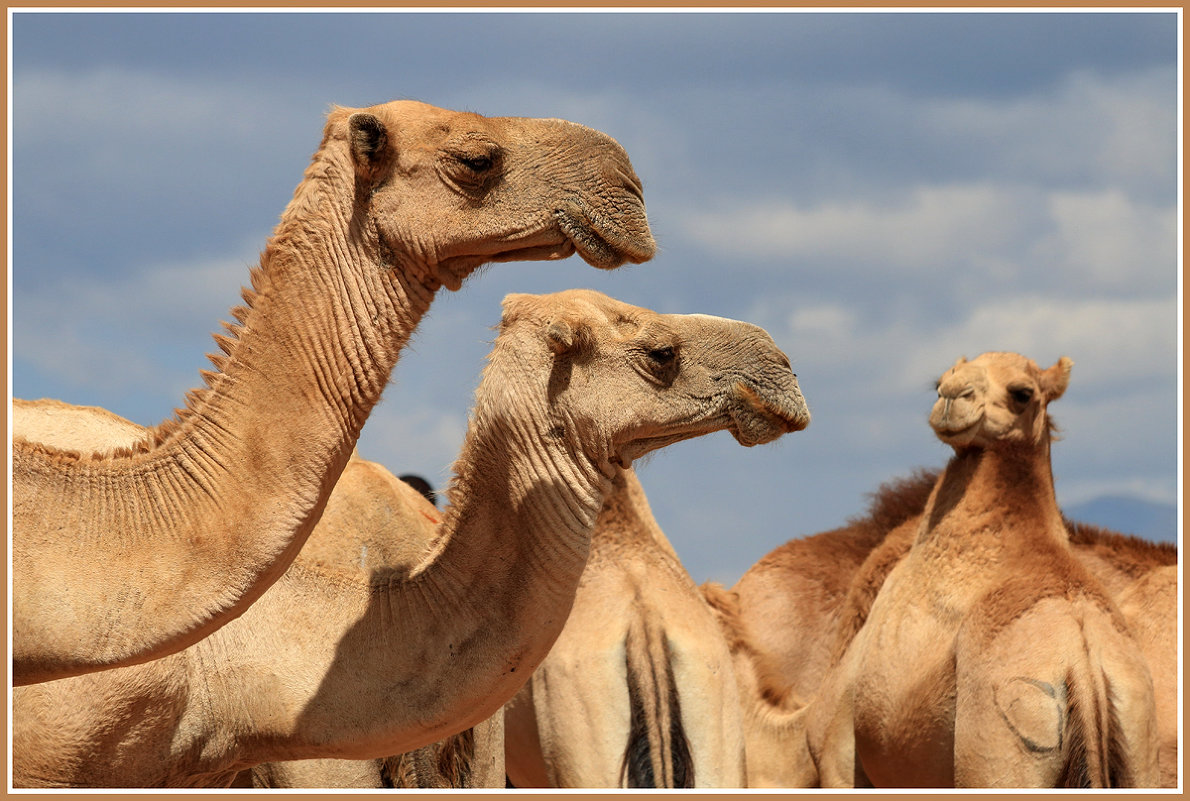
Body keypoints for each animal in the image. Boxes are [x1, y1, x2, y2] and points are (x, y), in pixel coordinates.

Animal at [804, 352, 1156, 785]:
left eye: (1022, 392)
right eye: (939, 381)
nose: (952, 394)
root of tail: (1085, 662)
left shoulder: (837, 754)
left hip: (1006, 736)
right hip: (1138, 738)